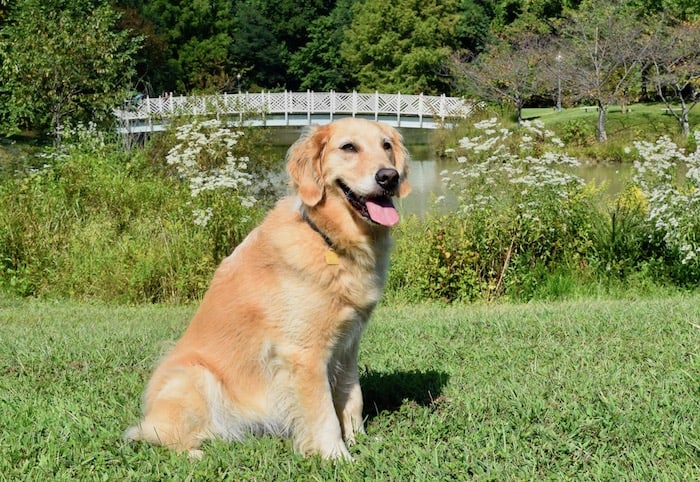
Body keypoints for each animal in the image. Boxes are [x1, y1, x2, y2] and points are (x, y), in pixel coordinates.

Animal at [125, 116, 410, 460]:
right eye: (348, 147)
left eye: (386, 146)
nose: (389, 177)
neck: (328, 239)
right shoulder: (304, 353)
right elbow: (323, 412)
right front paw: (337, 455)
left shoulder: (348, 343)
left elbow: (351, 395)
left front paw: (359, 439)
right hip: (193, 375)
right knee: (153, 434)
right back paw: (195, 453)